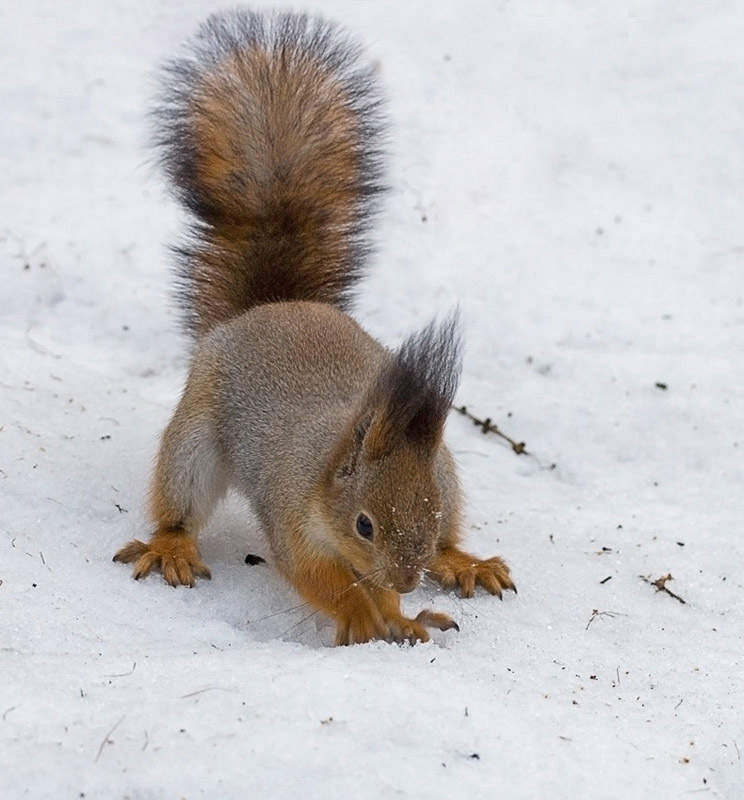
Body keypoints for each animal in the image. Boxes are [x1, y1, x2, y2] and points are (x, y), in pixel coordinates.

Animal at [113, 8, 515, 645]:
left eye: (427, 510)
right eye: (365, 524)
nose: (408, 580)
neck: (328, 467)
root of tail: (276, 304)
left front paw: (400, 616)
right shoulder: (291, 518)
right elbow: (318, 578)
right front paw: (363, 617)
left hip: (449, 465)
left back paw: (461, 561)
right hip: (193, 442)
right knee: (178, 502)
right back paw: (172, 547)